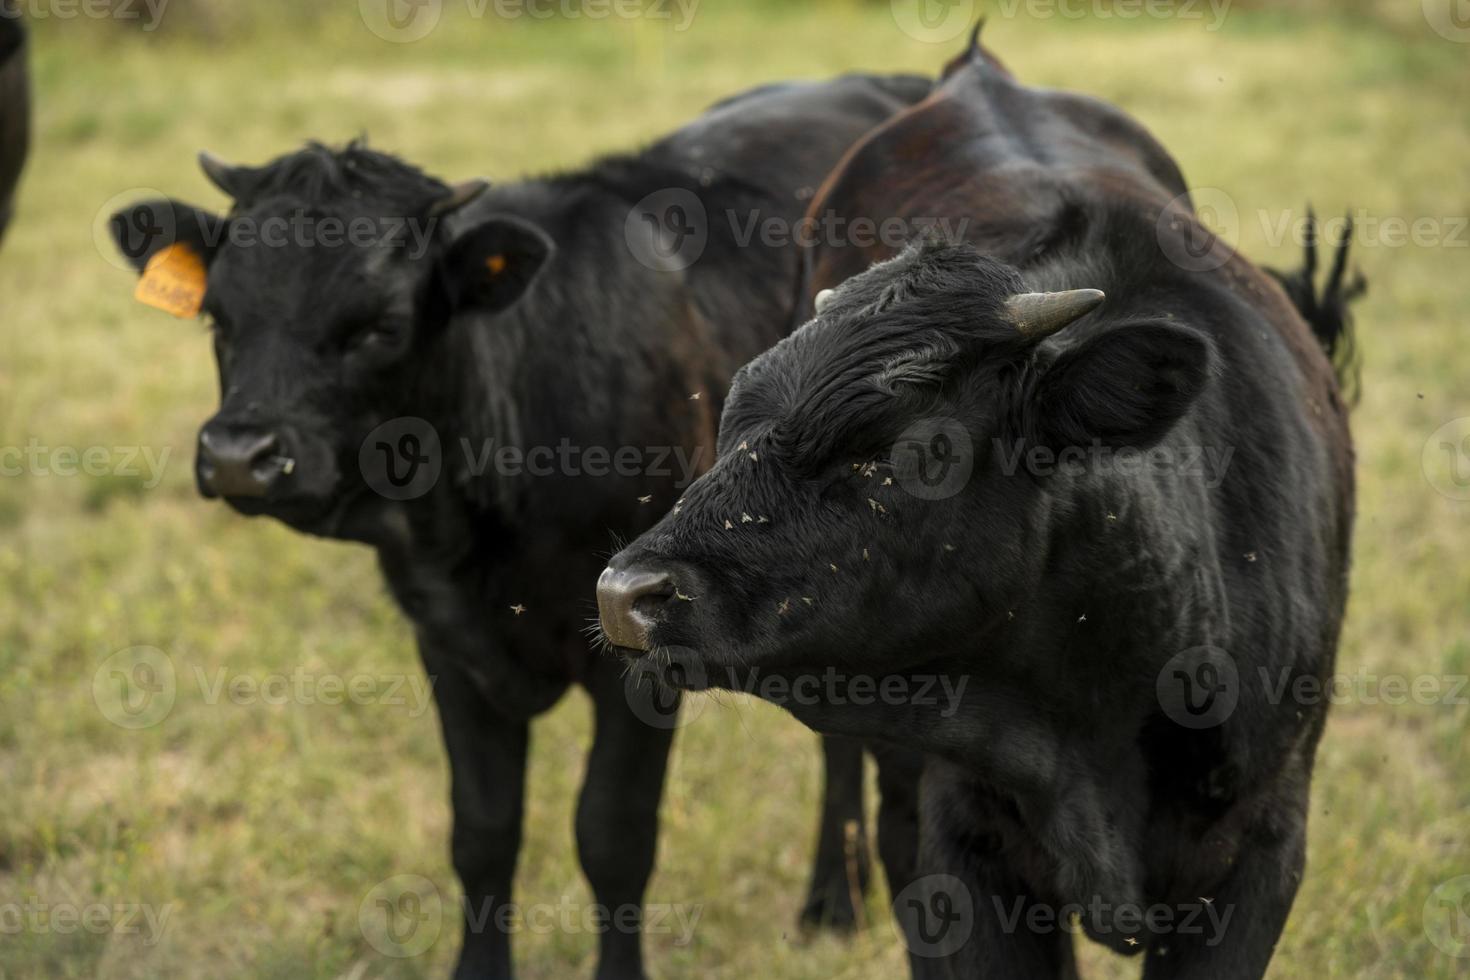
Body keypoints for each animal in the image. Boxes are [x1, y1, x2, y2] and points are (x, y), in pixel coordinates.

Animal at [108, 70, 923, 980]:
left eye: (380, 327)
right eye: (218, 318)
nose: (237, 455)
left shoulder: (639, 650)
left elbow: (612, 835)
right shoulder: (448, 645)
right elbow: (483, 832)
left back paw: (834, 898)